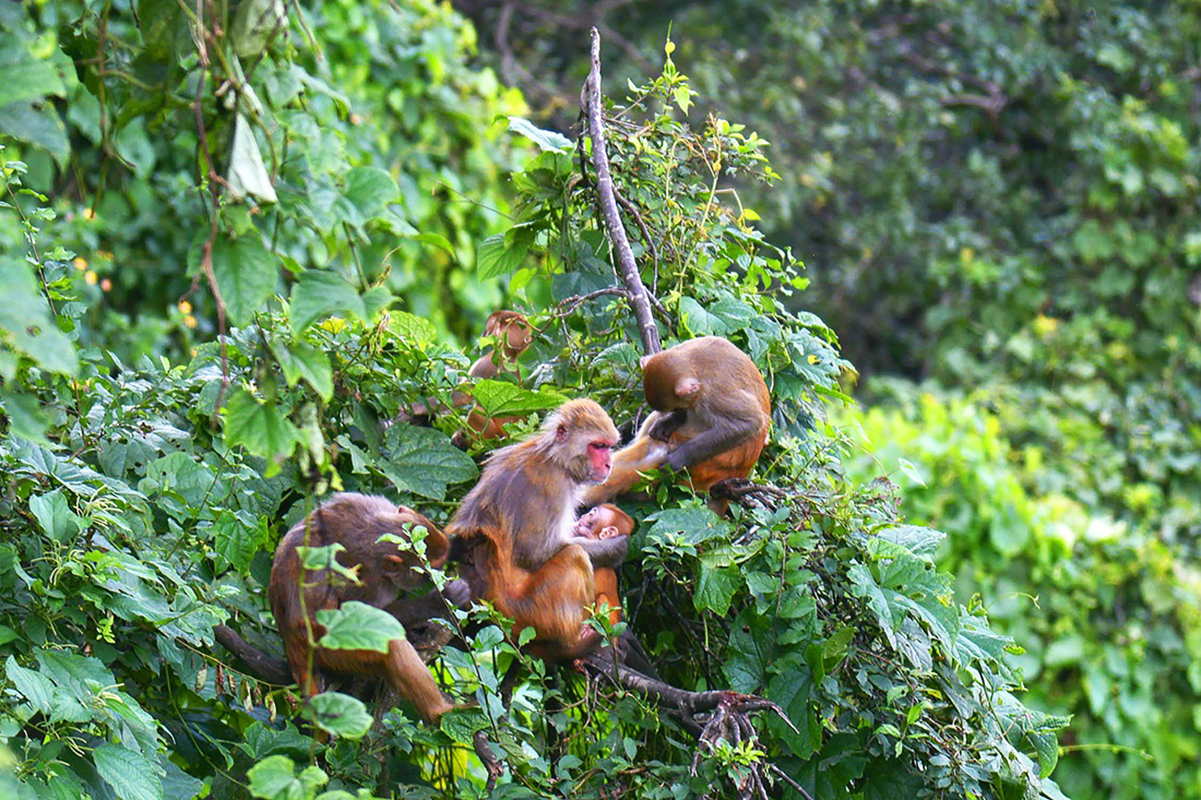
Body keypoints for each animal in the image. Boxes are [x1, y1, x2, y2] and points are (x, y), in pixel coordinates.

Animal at [269, 492, 468, 720]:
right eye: (424, 573)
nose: (439, 574)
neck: (371, 530)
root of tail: (292, 646)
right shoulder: (372, 579)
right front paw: (437, 601)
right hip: (333, 651)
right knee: (389, 645)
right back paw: (439, 711)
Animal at [444, 396, 624, 658]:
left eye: (608, 446)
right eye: (598, 446)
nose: (609, 464)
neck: (556, 459)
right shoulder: (552, 487)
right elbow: (534, 554)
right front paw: (616, 549)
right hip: (531, 612)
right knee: (575, 556)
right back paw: (572, 641)